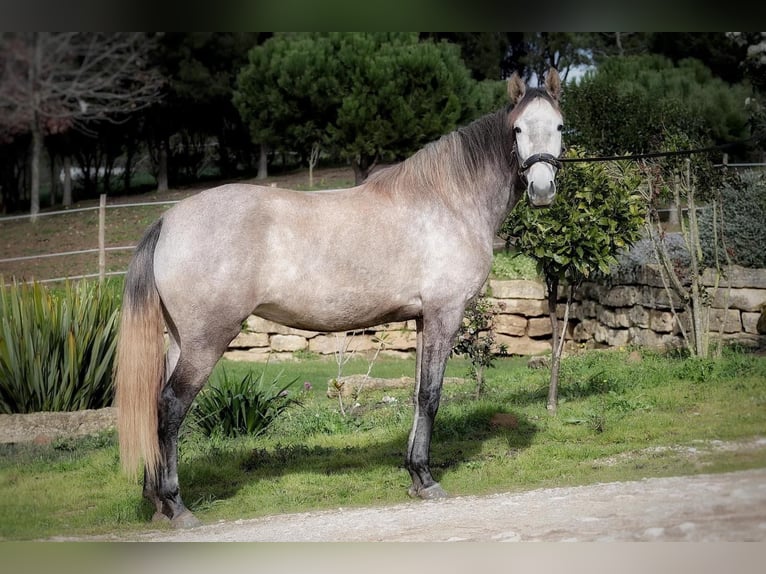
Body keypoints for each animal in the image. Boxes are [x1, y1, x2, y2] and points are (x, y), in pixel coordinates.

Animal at [117, 68, 568, 532]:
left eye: (559, 126)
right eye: (517, 129)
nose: (542, 189)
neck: (449, 200)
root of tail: (169, 219)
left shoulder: (424, 318)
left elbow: (418, 393)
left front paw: (414, 475)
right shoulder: (445, 313)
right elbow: (431, 395)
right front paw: (427, 480)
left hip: (180, 341)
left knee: (154, 405)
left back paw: (155, 500)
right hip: (207, 340)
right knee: (171, 407)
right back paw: (176, 505)